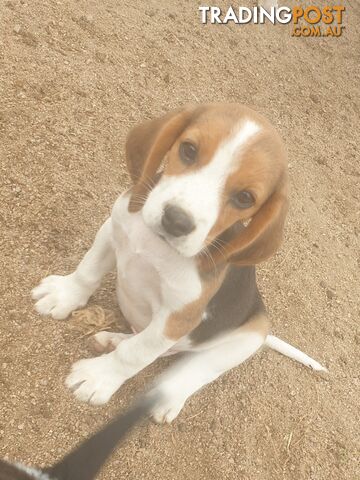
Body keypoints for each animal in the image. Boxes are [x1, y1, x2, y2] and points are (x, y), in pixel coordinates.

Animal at [31, 103, 326, 422]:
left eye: (245, 198)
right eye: (188, 150)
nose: (176, 221)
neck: (158, 246)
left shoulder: (177, 318)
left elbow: (135, 353)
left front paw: (98, 377)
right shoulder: (112, 228)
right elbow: (88, 271)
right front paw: (62, 296)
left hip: (244, 339)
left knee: (193, 370)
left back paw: (167, 396)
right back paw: (113, 339)